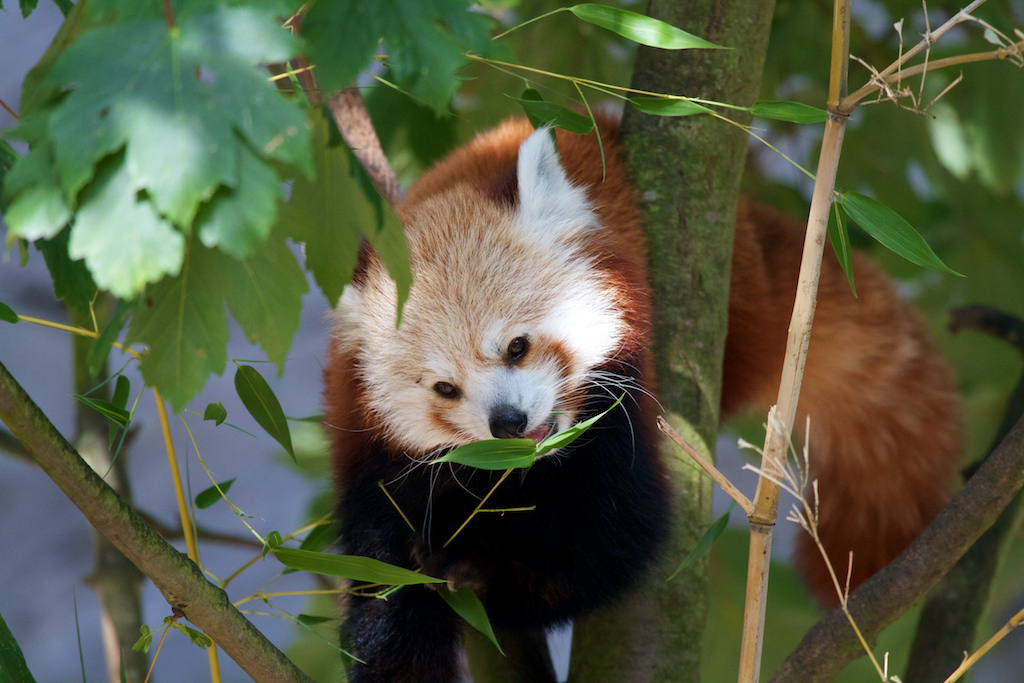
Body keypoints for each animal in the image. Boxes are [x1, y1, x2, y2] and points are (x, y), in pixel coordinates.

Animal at [323, 118, 962, 683]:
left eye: (517, 346)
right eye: (445, 388)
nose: (509, 422)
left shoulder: (619, 418)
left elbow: (610, 547)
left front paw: (479, 570)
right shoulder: (374, 460)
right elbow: (383, 591)